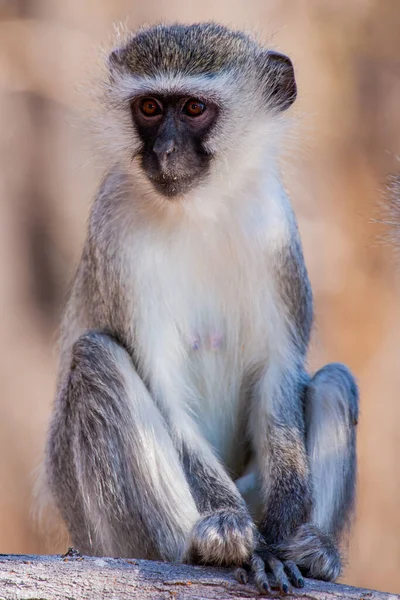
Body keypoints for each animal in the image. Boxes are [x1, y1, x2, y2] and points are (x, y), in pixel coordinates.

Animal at [44, 22, 360, 596]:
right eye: (149, 107)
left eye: (193, 108)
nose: (166, 151)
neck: (200, 209)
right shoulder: (116, 233)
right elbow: (166, 389)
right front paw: (243, 542)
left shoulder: (276, 231)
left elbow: (279, 373)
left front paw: (284, 534)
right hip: (113, 538)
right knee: (96, 358)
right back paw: (209, 546)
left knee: (334, 382)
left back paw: (315, 551)